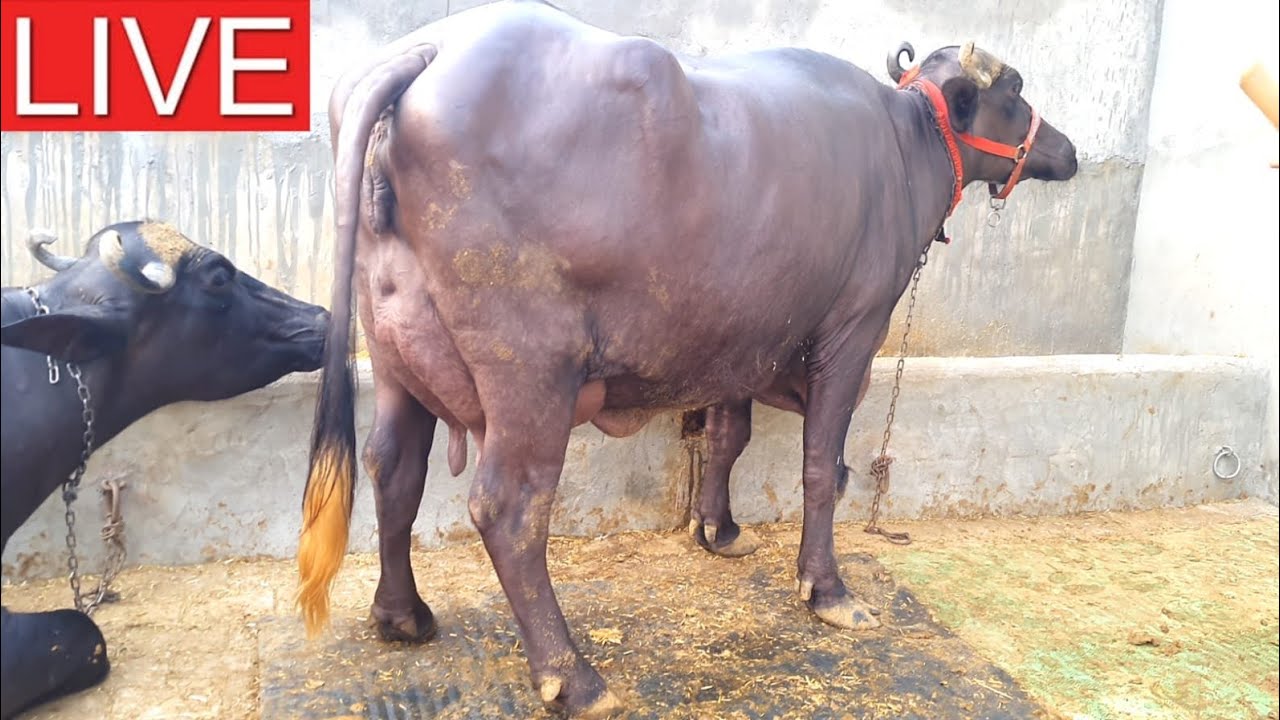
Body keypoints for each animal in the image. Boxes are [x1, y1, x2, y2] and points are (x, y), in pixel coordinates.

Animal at [297, 1, 1079, 716]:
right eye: (1014, 92)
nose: (1068, 151)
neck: (903, 143)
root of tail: (428, 50)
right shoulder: (852, 333)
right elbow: (823, 469)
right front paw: (827, 589)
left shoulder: (737, 341)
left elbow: (729, 436)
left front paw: (719, 529)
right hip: (530, 373)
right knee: (510, 511)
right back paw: (573, 677)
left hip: (394, 357)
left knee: (393, 467)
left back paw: (402, 615)